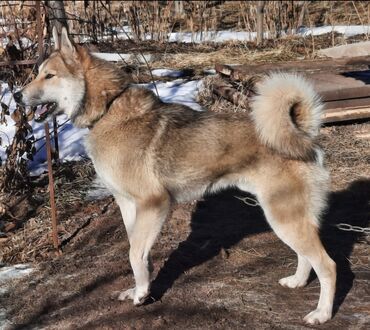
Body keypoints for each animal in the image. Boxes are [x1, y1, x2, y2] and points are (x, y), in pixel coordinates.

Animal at [14, 26, 336, 324]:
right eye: (38, 73)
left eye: (49, 76)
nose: (16, 95)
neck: (108, 109)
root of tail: (302, 131)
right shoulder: (129, 205)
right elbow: (137, 251)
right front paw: (139, 290)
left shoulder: (153, 203)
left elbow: (134, 254)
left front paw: (142, 294)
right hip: (288, 219)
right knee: (306, 258)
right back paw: (297, 282)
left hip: (283, 216)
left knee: (327, 266)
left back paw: (321, 313)